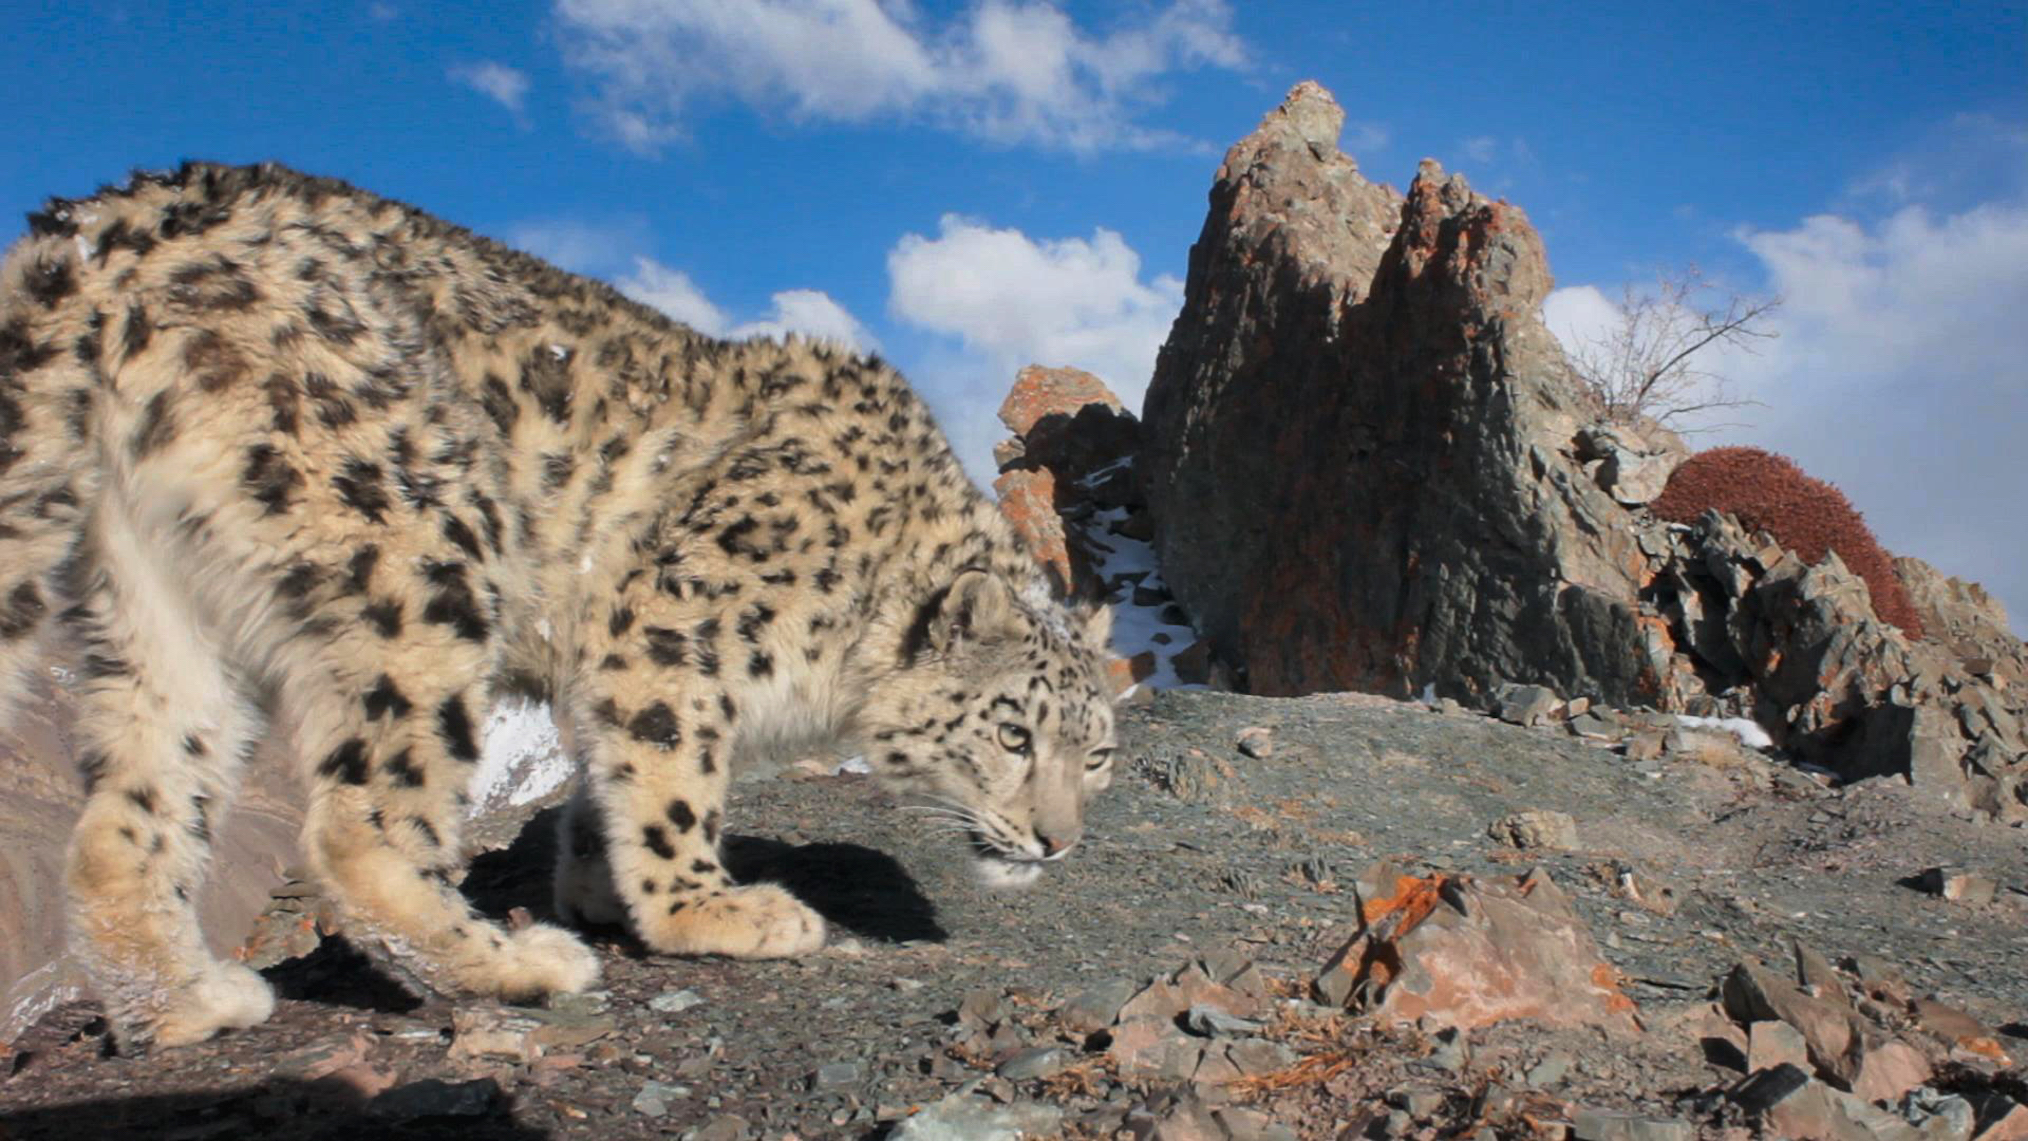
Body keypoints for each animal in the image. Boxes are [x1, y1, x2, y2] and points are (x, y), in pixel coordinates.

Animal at [0, 163, 1127, 1053]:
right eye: (1014, 732)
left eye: (1100, 753)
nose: (1060, 842)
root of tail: (122, 217)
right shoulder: (670, 624)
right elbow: (672, 772)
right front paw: (705, 910)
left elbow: (605, 772)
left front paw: (595, 887)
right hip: (419, 548)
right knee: (360, 821)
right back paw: (514, 964)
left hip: (158, 603)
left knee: (128, 820)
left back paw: (186, 1001)